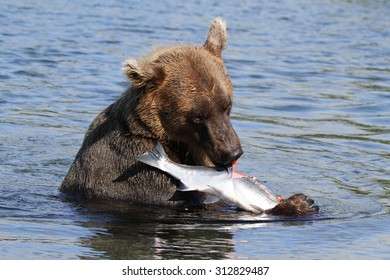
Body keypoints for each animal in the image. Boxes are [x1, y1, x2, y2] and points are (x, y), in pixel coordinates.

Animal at [59, 18, 318, 214]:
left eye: (227, 105)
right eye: (197, 116)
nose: (232, 152)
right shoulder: (133, 169)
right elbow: (185, 202)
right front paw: (299, 203)